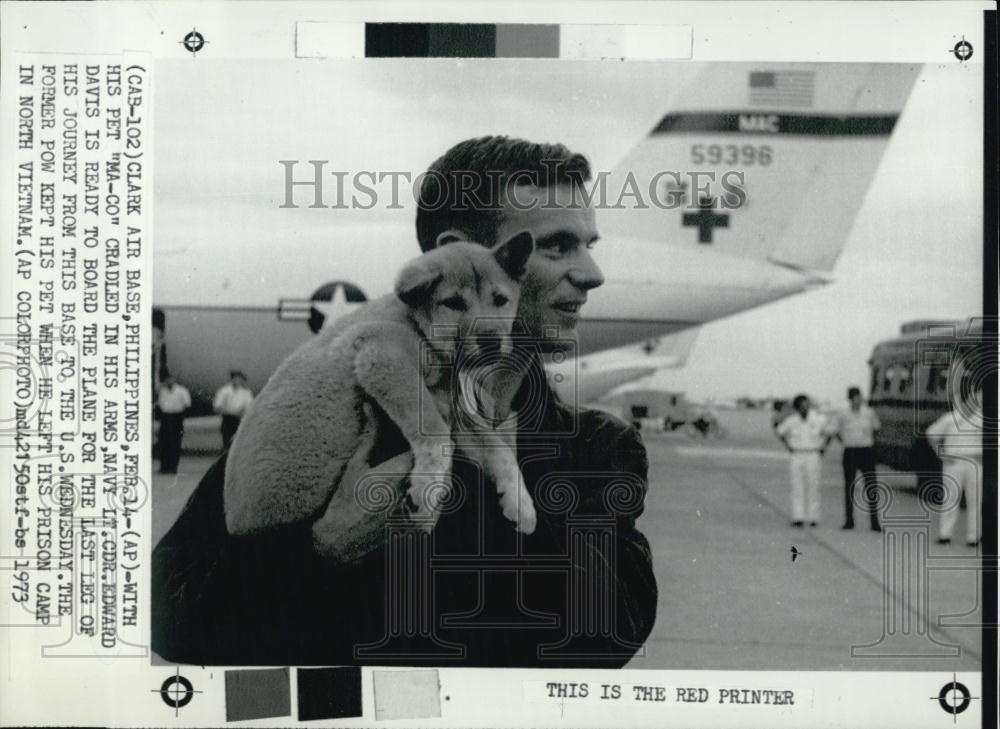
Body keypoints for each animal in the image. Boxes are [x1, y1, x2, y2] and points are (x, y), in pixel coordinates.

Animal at [225, 230, 540, 536]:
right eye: (453, 303)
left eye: (500, 299)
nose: (492, 341)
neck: (417, 324)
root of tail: (235, 526)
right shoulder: (383, 356)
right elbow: (436, 434)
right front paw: (427, 492)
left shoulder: (453, 410)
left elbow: (499, 449)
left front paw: (521, 504)